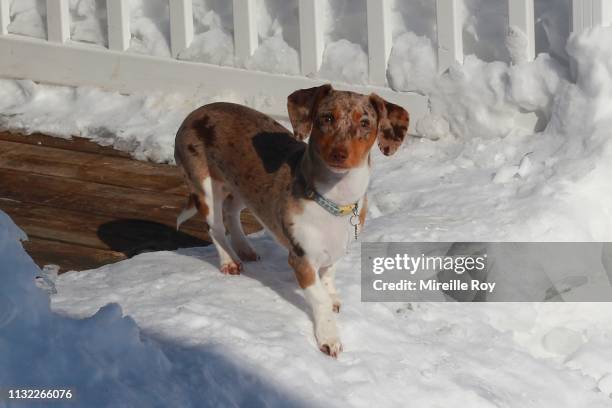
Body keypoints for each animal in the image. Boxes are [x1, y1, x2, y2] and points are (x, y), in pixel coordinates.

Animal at [175, 84, 408, 356]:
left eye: (365, 123)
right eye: (327, 118)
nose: (339, 154)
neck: (334, 199)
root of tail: (197, 112)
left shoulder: (338, 249)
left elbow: (328, 277)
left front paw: (333, 297)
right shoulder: (301, 259)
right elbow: (318, 298)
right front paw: (329, 337)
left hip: (246, 186)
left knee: (232, 210)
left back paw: (245, 249)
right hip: (205, 185)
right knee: (216, 227)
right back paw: (229, 261)